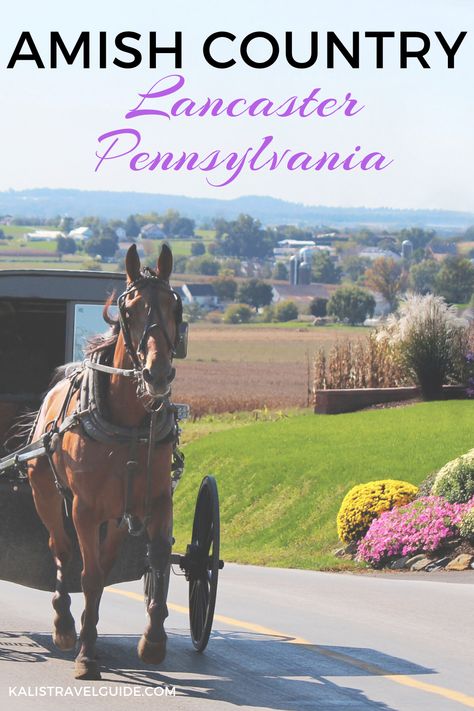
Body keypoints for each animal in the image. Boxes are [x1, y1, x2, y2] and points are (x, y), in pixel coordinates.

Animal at [26, 243, 181, 680]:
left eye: (174, 305)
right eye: (130, 309)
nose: (158, 373)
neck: (127, 424)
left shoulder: (156, 500)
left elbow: (158, 555)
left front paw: (153, 640)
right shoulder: (85, 508)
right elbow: (90, 575)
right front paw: (86, 653)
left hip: (117, 515)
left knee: (105, 557)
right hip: (47, 495)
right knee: (61, 550)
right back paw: (65, 626)